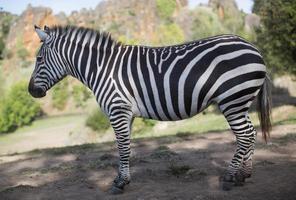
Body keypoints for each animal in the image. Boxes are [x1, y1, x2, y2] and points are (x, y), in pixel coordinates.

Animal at [28, 25, 272, 194]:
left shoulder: (117, 110)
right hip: (240, 101)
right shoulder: (126, 113)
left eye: (39, 59)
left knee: (245, 135)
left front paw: (119, 183)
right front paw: (123, 179)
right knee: (250, 133)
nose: (31, 91)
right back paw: (243, 175)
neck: (101, 69)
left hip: (232, 99)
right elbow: (126, 147)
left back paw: (230, 178)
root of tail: (253, 46)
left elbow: (122, 148)